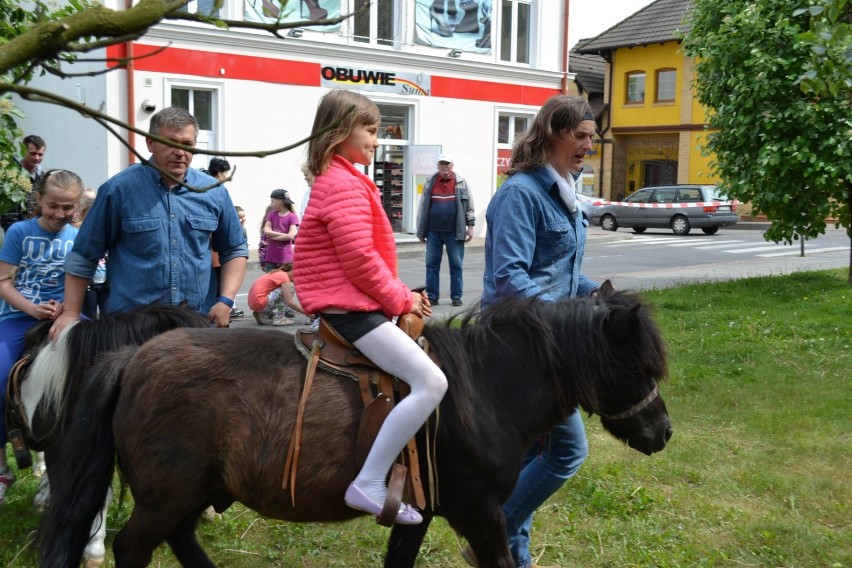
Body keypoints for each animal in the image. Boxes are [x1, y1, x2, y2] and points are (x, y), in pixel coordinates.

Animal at [41, 290, 672, 564]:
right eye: (638, 367)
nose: (662, 432)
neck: (485, 387)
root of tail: (133, 359)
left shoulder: (422, 512)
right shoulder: (481, 513)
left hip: (188, 493)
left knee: (179, 540)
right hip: (167, 494)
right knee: (133, 548)